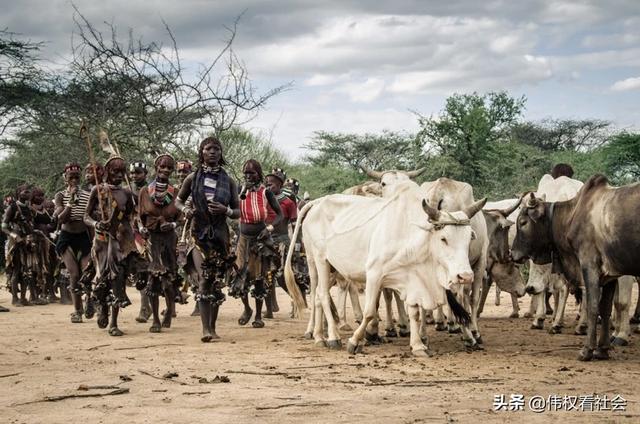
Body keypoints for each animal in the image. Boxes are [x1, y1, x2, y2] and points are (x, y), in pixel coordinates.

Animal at [284, 181, 484, 356]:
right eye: (443, 238)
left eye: (469, 239)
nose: (465, 276)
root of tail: (318, 202)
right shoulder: (374, 273)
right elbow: (369, 312)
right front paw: (355, 341)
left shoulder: (412, 278)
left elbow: (414, 312)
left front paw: (418, 345)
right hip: (317, 261)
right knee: (321, 295)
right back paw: (332, 337)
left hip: (332, 268)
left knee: (318, 296)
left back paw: (319, 336)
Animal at [512, 176, 640, 362]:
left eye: (523, 222)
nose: (512, 253)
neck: (571, 216)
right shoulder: (610, 277)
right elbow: (605, 309)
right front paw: (602, 349)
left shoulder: (590, 267)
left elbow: (595, 306)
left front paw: (587, 350)